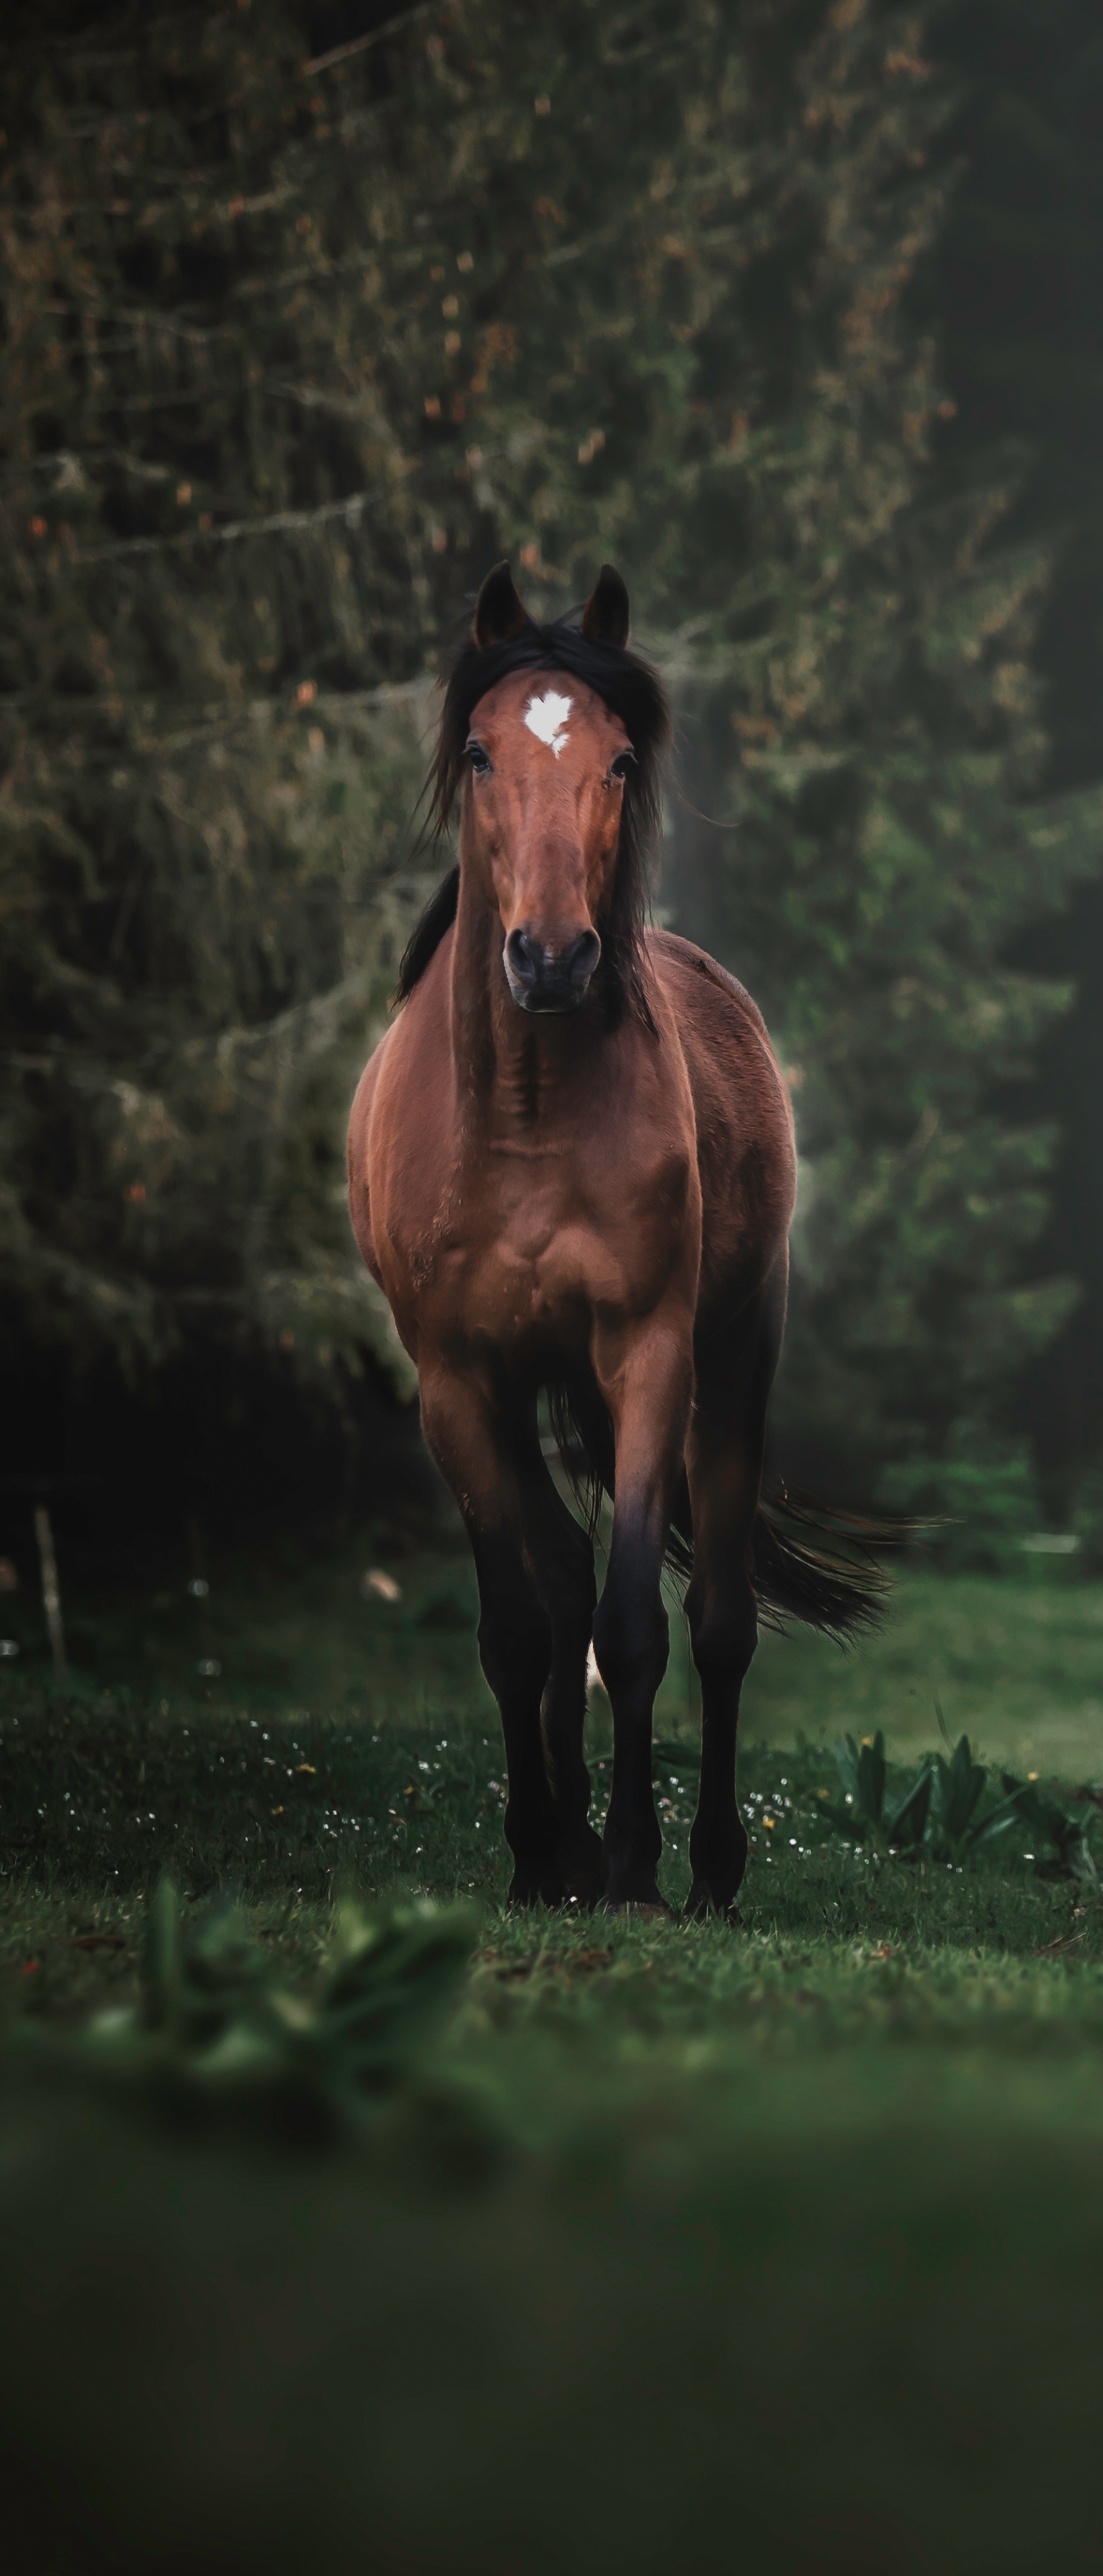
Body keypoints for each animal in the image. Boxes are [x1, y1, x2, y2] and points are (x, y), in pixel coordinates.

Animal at [348, 569, 881, 1937]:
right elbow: (519, 1628)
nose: (550, 956)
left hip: (732, 1362)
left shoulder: (647, 1360)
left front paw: (636, 1869)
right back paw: (573, 1842)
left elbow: (633, 1624)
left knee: (717, 1618)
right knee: (553, 1568)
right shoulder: (458, 1385)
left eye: (621, 758)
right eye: (482, 752)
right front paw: (543, 1855)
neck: (526, 1114)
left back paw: (707, 1867)